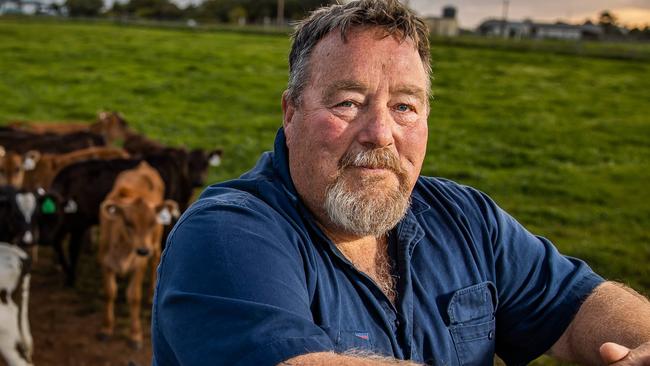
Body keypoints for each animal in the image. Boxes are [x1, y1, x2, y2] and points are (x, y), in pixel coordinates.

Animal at [96, 162, 177, 348]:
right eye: (128, 222)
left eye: (152, 222)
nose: (142, 250)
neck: (123, 248)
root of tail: (143, 166)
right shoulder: (105, 261)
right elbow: (109, 292)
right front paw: (106, 328)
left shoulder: (139, 264)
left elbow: (134, 296)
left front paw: (135, 334)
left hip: (155, 245)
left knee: (155, 262)